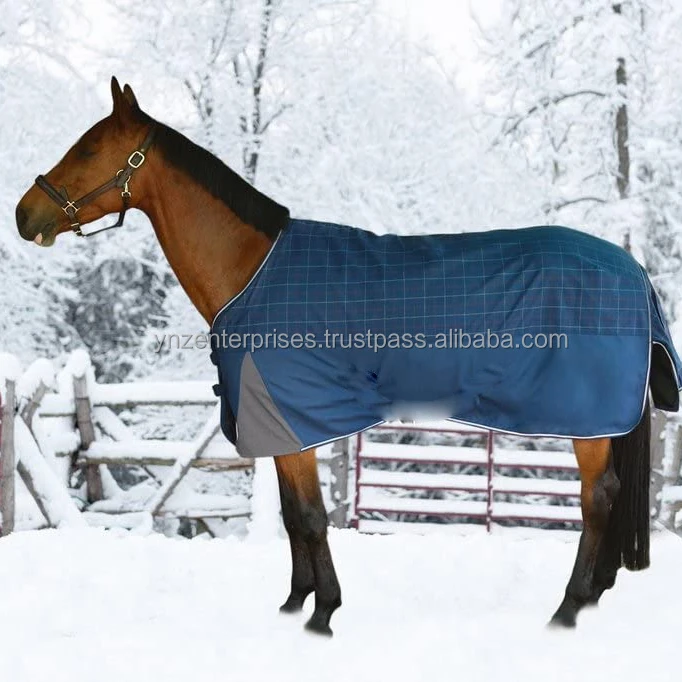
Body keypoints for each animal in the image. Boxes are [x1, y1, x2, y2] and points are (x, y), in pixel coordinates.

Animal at [16, 77, 681, 636]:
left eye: (88, 149)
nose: (24, 214)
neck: (253, 272)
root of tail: (634, 272)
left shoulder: (295, 416)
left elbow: (310, 516)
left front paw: (322, 615)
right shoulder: (283, 425)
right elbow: (293, 514)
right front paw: (294, 605)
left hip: (588, 419)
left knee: (598, 498)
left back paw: (567, 609)